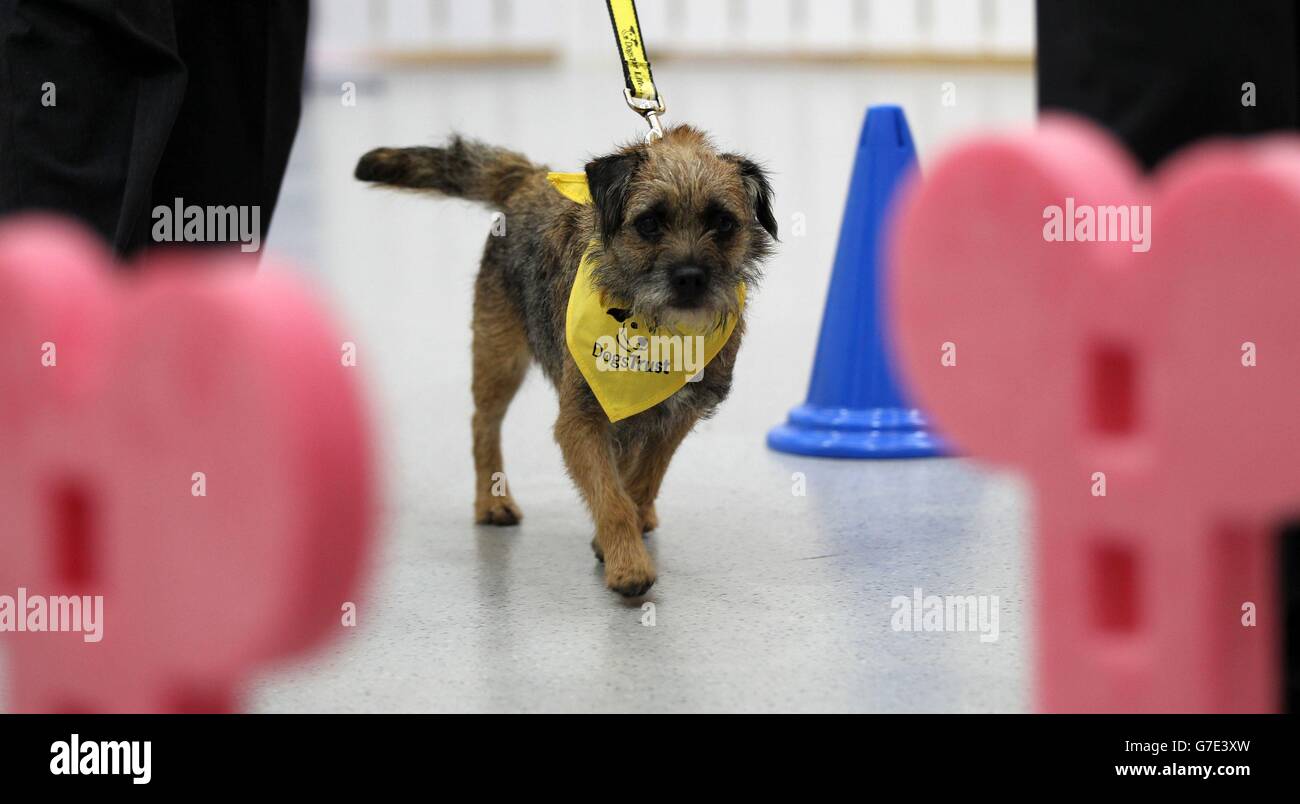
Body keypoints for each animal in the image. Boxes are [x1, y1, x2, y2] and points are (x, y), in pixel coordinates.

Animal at [353, 123, 769, 588]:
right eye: (648, 223)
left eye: (723, 223)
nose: (691, 277)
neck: (658, 333)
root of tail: (531, 180)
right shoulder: (581, 420)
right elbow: (611, 496)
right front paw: (627, 562)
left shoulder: (680, 414)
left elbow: (643, 480)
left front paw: (621, 534)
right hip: (499, 356)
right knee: (483, 423)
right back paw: (491, 502)